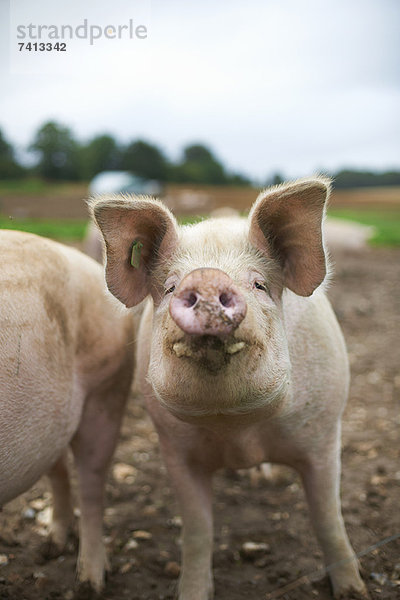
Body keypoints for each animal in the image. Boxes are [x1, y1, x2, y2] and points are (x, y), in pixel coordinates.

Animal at [92, 178, 368, 600]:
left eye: (259, 284)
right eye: (170, 287)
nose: (206, 278)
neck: (237, 430)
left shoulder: (324, 434)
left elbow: (327, 519)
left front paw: (354, 592)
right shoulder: (175, 450)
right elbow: (197, 531)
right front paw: (192, 592)